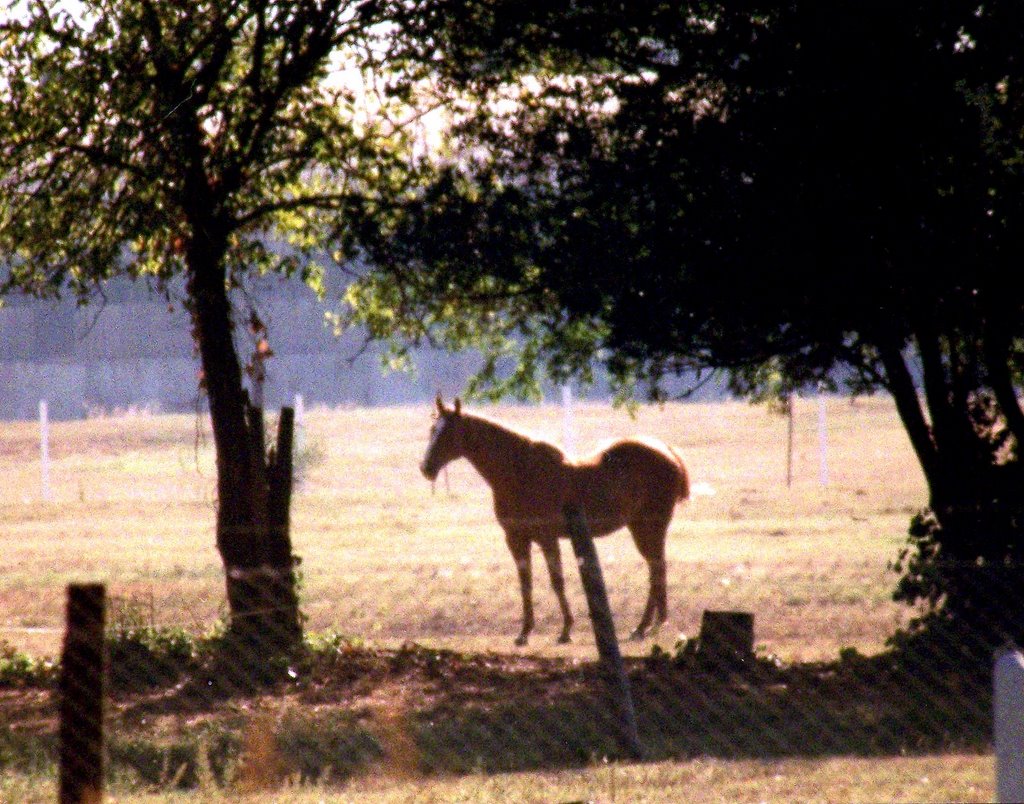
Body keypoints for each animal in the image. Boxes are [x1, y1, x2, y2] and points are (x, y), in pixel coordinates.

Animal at [419, 395, 692, 647]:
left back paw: (649, 626)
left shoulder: (547, 538)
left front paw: (565, 630)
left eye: (448, 432)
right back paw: (647, 626)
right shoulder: (516, 539)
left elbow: (556, 581)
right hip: (640, 528)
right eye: (433, 429)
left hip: (651, 527)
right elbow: (526, 583)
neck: (520, 472)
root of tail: (668, 451)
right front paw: (524, 633)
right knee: (655, 568)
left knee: (657, 569)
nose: (426, 468)